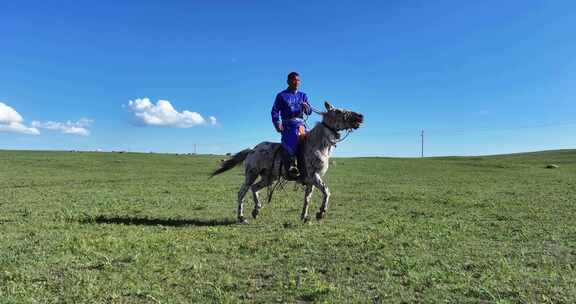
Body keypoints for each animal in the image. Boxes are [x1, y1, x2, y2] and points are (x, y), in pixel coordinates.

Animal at [212, 102, 364, 223]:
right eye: (338, 111)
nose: (360, 116)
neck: (317, 145)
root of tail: (252, 149)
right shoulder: (314, 176)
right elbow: (327, 192)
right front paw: (320, 213)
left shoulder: (311, 180)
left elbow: (307, 198)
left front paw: (304, 216)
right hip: (251, 174)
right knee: (241, 192)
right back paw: (241, 217)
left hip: (269, 178)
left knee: (254, 188)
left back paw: (256, 210)